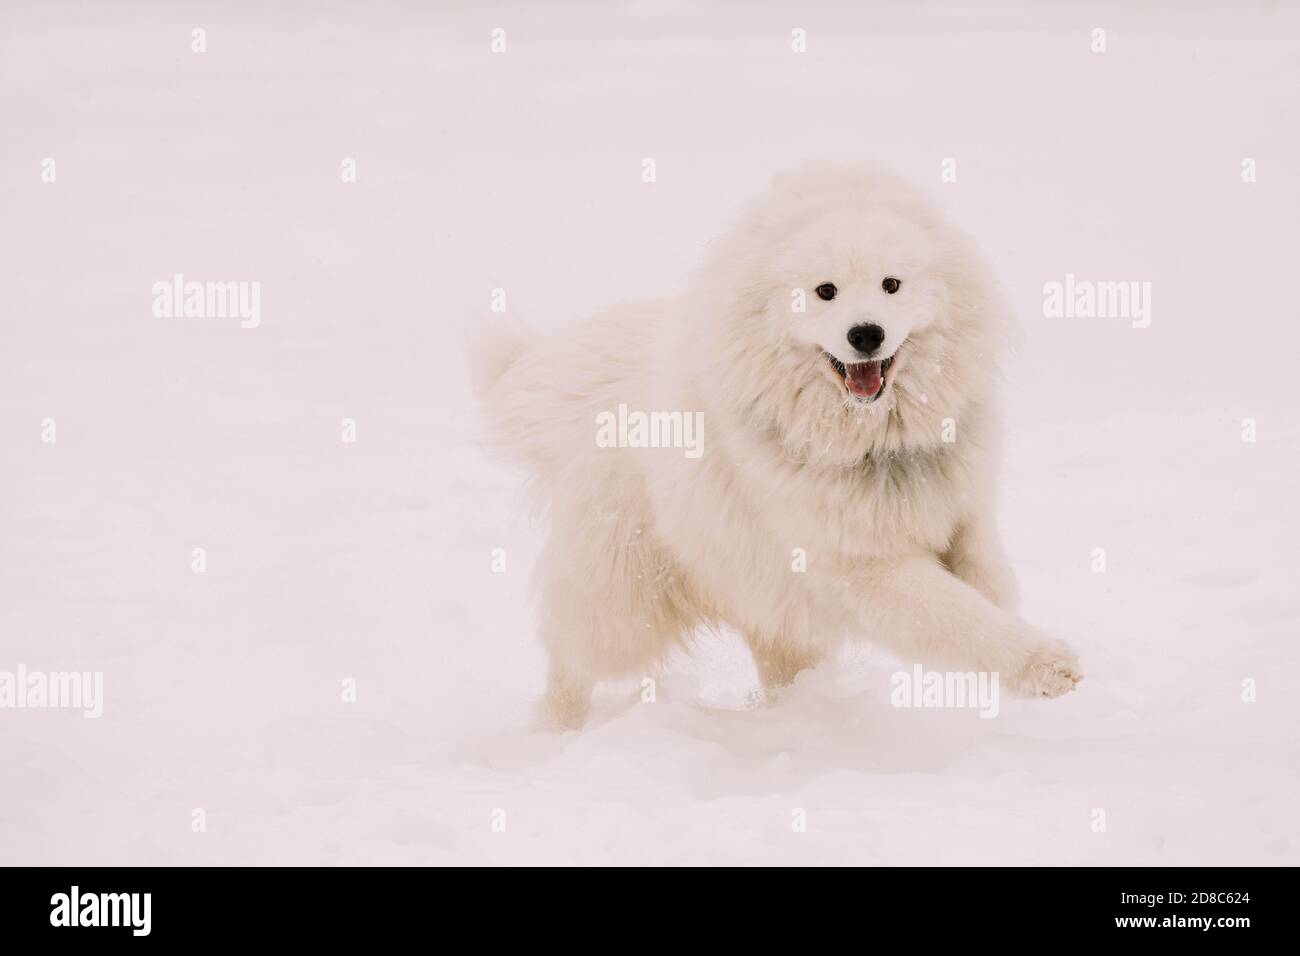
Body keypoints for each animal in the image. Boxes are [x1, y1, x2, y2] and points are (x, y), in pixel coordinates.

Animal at [478, 162, 1076, 733]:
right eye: (825, 290)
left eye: (892, 284)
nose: (866, 334)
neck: (875, 444)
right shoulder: (863, 569)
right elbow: (959, 617)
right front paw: (1046, 664)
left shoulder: (963, 505)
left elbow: (987, 574)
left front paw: (1008, 612)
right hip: (624, 597)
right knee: (572, 663)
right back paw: (552, 736)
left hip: (764, 598)